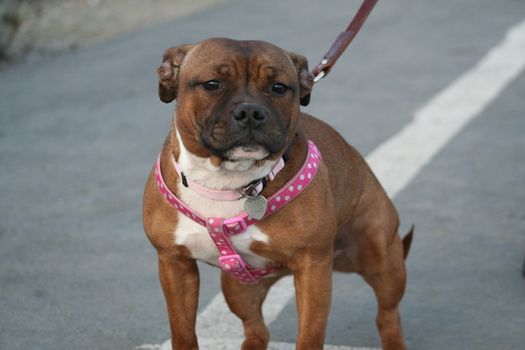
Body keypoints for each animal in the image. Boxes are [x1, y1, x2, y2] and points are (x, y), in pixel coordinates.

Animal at [143, 38, 414, 350]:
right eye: (212, 84)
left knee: (387, 314)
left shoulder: (313, 267)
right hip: (238, 289)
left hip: (382, 260)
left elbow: (309, 335)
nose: (250, 111)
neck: (229, 183)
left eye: (279, 87)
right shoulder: (175, 265)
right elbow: (183, 331)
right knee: (256, 328)